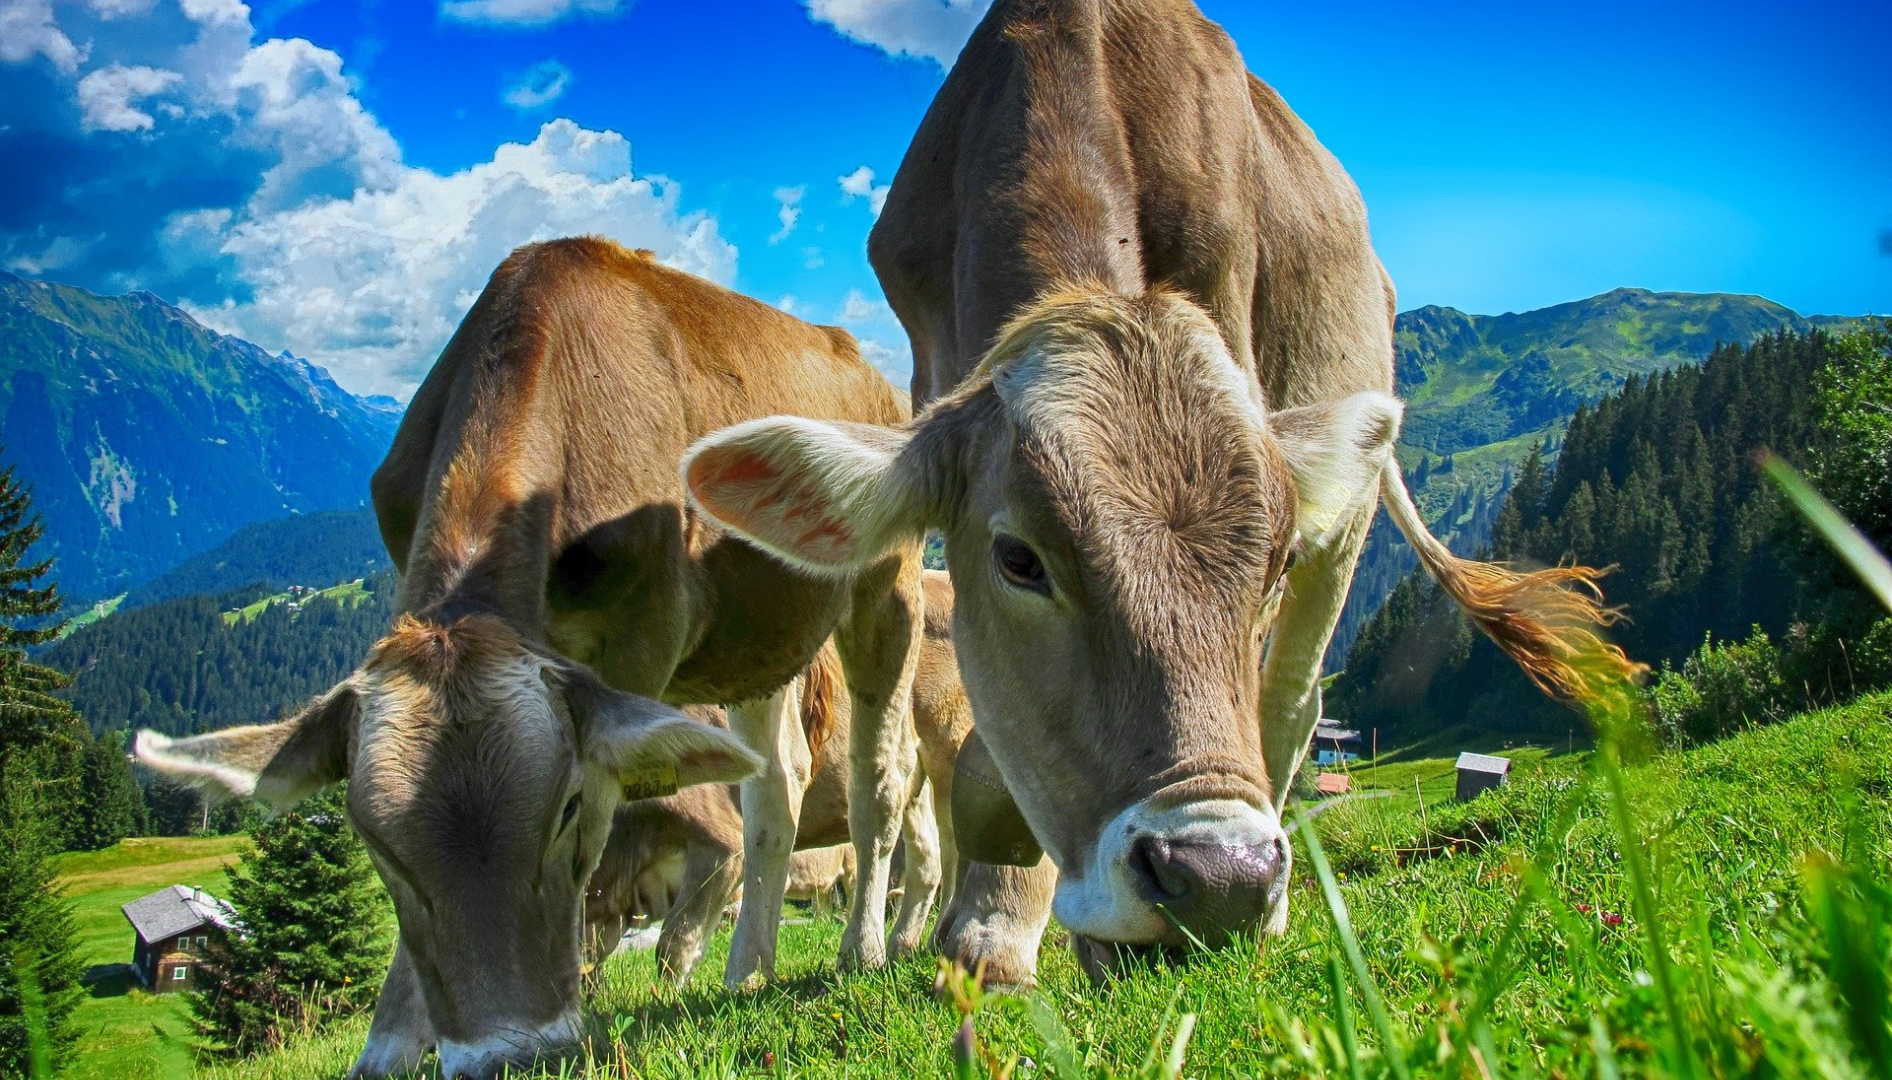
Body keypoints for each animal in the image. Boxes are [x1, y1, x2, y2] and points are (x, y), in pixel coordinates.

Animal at [134, 237, 926, 1077]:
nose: (510, 1055)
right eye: (374, 843)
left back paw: (863, 949)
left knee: (882, 777)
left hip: (888, 586)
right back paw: (747, 970)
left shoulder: (640, 644)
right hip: (757, 639)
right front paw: (391, 1043)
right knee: (776, 785)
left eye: (569, 808)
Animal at [682, 0, 1640, 986]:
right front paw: (990, 924)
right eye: (1018, 559)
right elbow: (990, 750)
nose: (1220, 878)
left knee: (1292, 703)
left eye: (1272, 562)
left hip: (1350, 509)